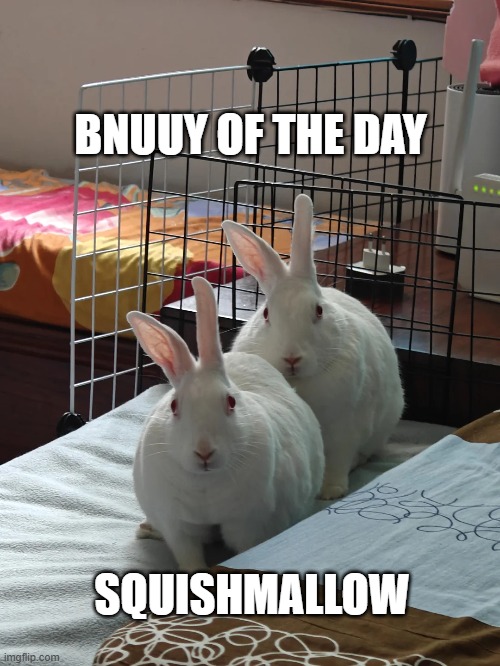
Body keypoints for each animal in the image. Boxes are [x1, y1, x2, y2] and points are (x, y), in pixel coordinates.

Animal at [126, 276, 324, 572]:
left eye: (231, 402)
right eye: (174, 407)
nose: (204, 452)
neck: (205, 483)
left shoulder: (247, 523)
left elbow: (245, 551)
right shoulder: (178, 527)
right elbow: (190, 559)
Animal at [222, 193, 405, 501]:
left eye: (318, 311)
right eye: (266, 314)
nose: (291, 358)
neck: (300, 381)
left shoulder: (346, 428)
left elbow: (338, 460)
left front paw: (330, 492)